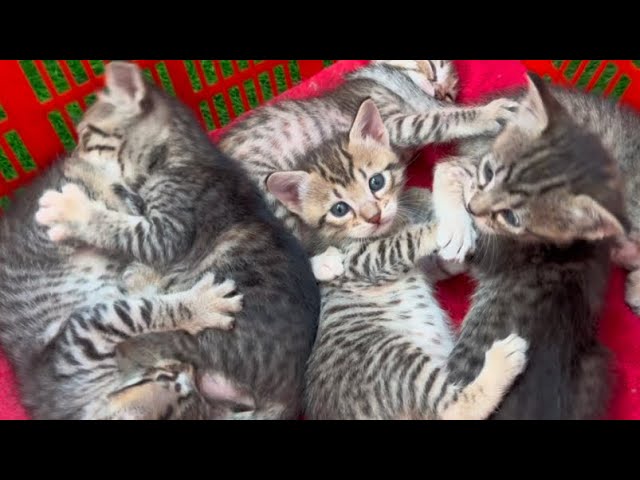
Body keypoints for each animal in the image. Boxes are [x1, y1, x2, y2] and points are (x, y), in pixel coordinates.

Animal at [428, 73, 624, 418]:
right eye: (489, 171)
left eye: (511, 217)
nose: (473, 208)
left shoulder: (495, 252)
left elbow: (450, 171)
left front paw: (455, 226)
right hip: (598, 367)